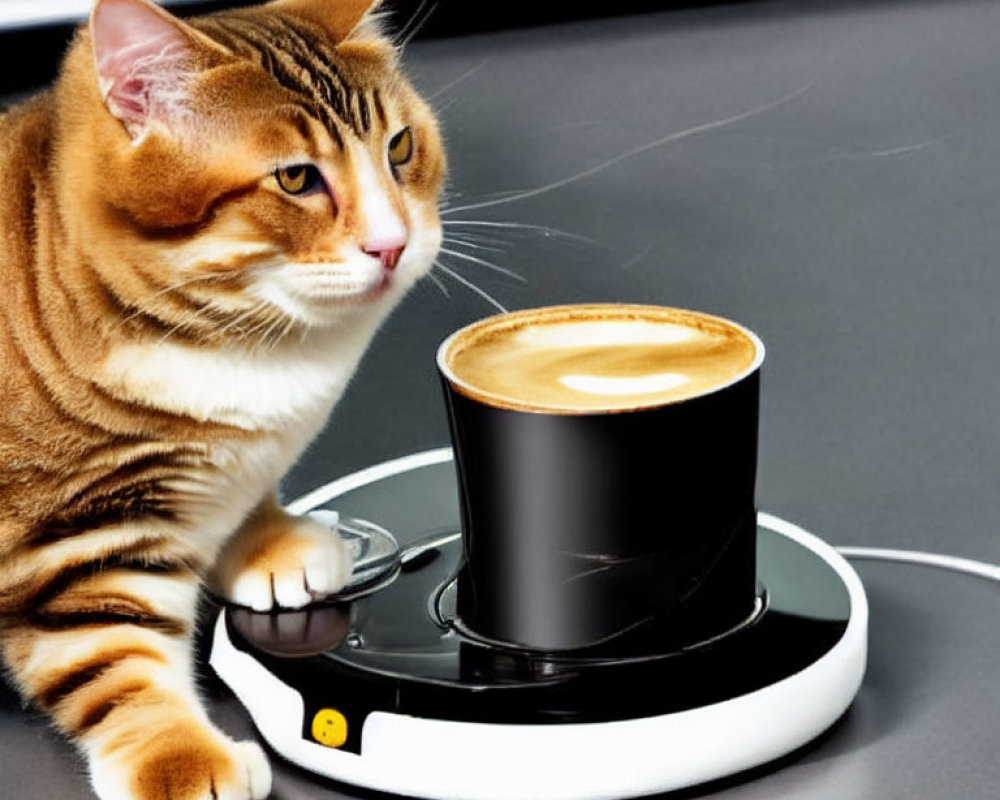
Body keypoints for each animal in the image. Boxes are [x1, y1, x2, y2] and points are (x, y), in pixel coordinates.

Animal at [0, 0, 446, 796]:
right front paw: (178, 757)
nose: (393, 244)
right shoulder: (76, 536)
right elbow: (111, 658)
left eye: (399, 148)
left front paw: (269, 539)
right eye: (296, 178)